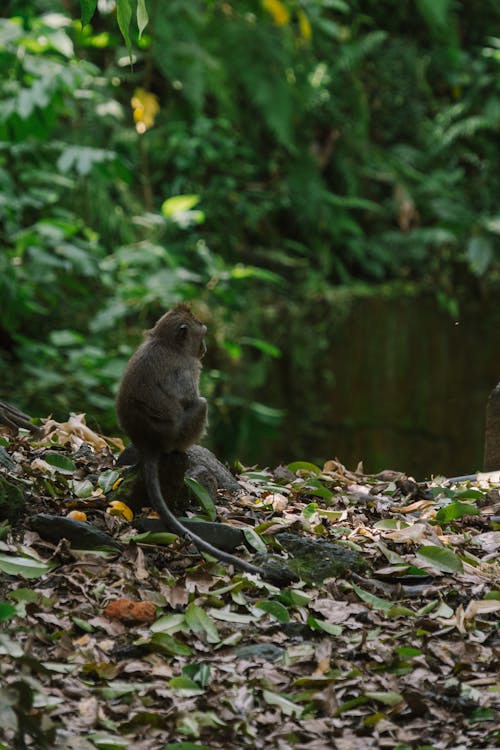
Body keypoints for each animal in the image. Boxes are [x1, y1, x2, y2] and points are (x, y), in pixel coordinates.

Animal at [115, 306, 268, 580]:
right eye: (202, 335)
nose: (204, 349)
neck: (164, 342)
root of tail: (147, 444)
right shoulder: (187, 367)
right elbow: (189, 398)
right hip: (178, 435)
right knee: (201, 404)